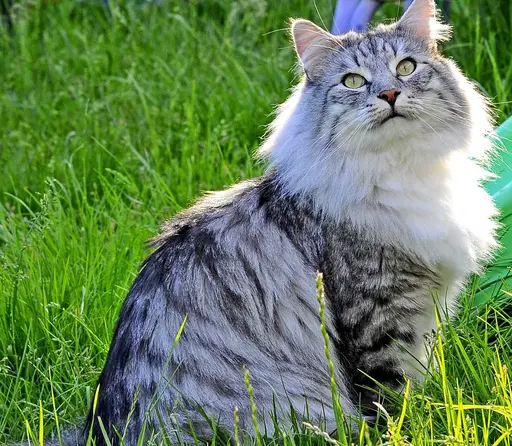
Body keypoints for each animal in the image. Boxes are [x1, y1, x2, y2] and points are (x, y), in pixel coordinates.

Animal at [26, 0, 498, 444]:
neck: (399, 169)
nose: (389, 94)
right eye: (353, 81)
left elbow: (421, 382)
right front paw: (410, 429)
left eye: (406, 67)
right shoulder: (377, 316)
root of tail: (105, 428)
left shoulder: (426, 313)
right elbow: (391, 400)